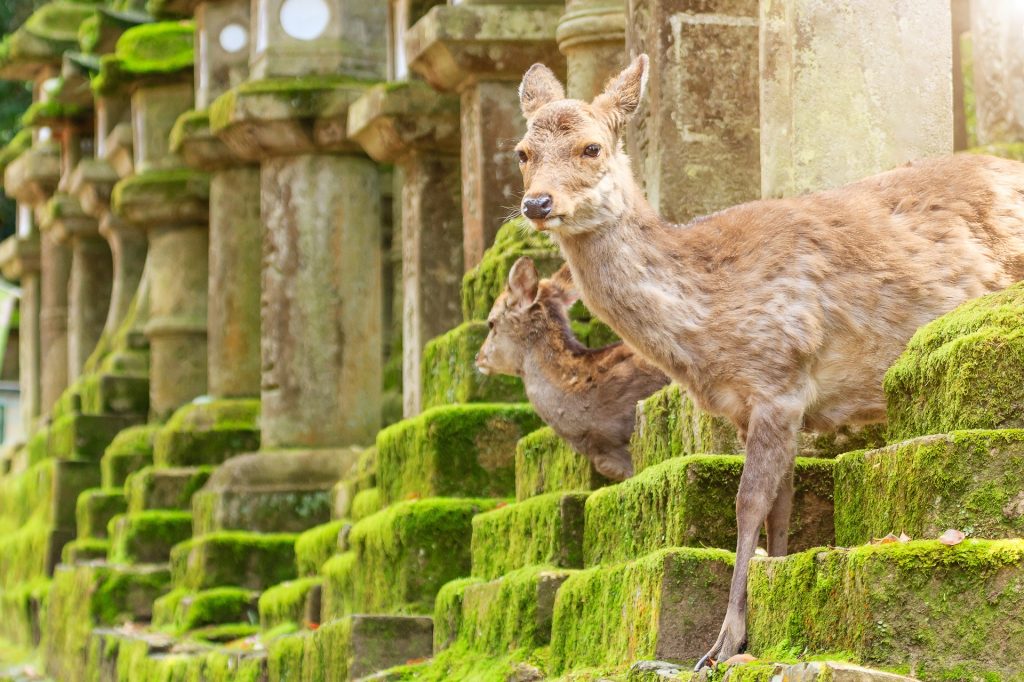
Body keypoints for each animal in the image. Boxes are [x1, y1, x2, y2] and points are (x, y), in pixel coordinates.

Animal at [516, 55, 1024, 667]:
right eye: (522, 151)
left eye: (591, 147)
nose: (537, 204)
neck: (706, 322)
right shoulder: (755, 406)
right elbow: (782, 503)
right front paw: (772, 593)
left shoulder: (779, 377)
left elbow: (748, 501)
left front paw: (722, 642)